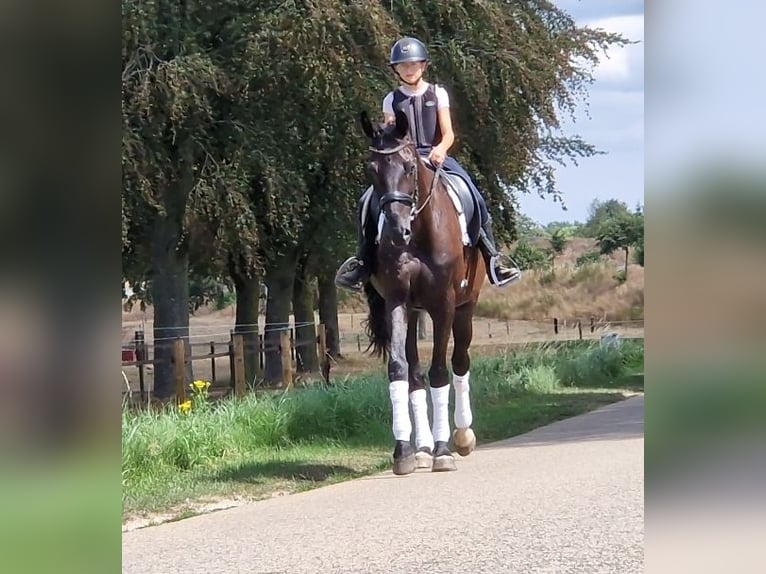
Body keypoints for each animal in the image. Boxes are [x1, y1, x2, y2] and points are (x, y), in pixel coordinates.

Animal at [359, 108, 485, 475]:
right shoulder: (398, 303)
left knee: (460, 362)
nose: (396, 230)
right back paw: (423, 448)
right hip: (415, 313)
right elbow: (399, 369)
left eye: (409, 167)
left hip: (466, 308)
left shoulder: (444, 305)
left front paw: (444, 451)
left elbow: (440, 372)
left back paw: (461, 437)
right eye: (371, 169)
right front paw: (404, 451)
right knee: (415, 375)